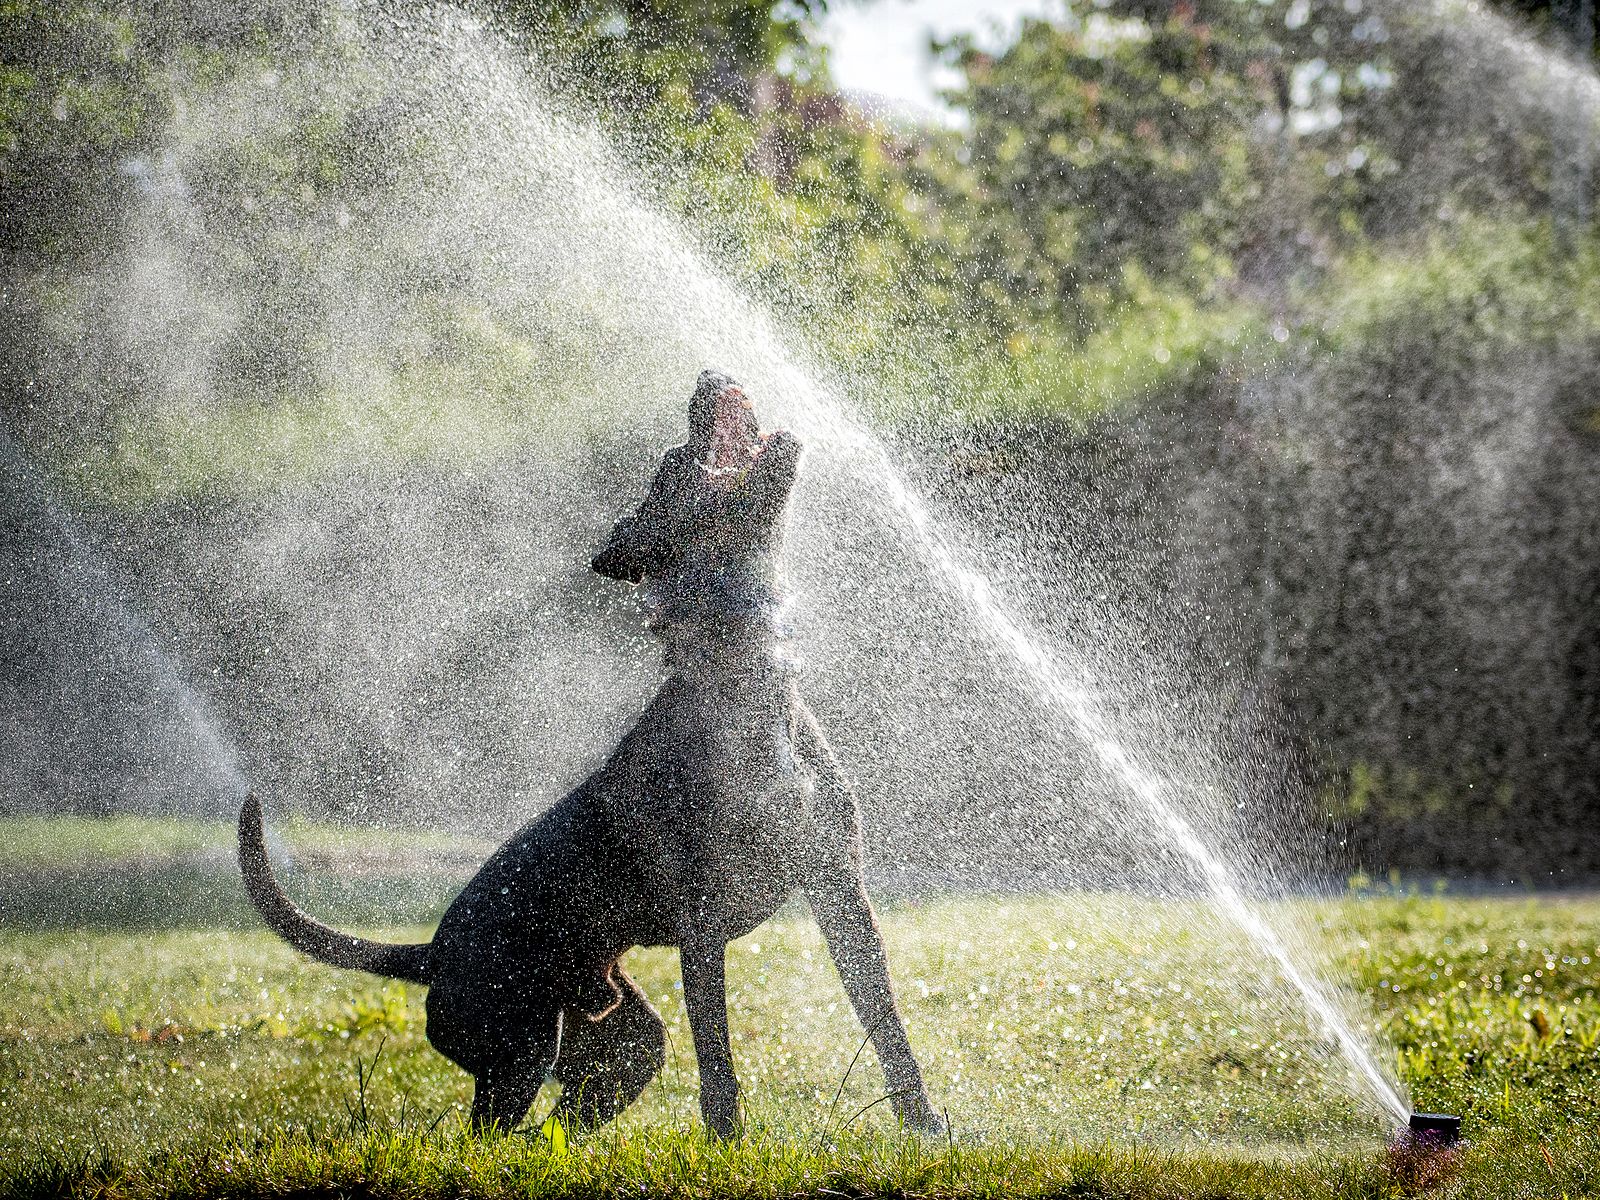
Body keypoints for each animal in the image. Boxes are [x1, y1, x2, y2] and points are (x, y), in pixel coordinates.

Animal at [236, 371, 934, 1139]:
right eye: (671, 465)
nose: (705, 377)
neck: (744, 676)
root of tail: (431, 952)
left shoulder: (841, 889)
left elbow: (889, 1028)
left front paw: (930, 1131)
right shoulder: (702, 924)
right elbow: (719, 1064)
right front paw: (730, 1148)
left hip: (623, 1045)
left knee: (562, 1124)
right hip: (517, 1045)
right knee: (488, 1134)